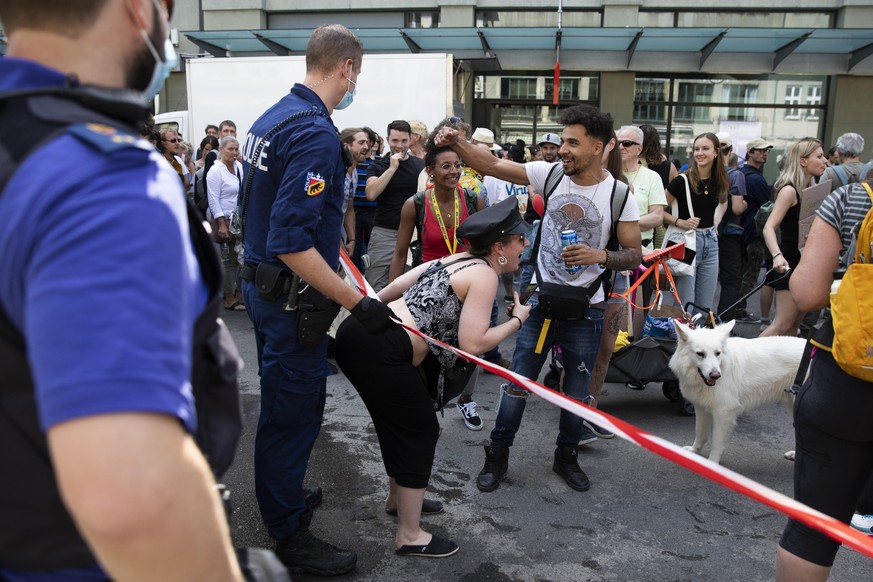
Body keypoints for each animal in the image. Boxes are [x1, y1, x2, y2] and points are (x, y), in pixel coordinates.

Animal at [668, 320, 804, 466]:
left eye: (717, 353)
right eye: (700, 354)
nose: (716, 375)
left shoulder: (723, 414)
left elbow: (716, 444)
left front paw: (711, 465)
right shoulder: (701, 408)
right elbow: (700, 434)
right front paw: (694, 451)